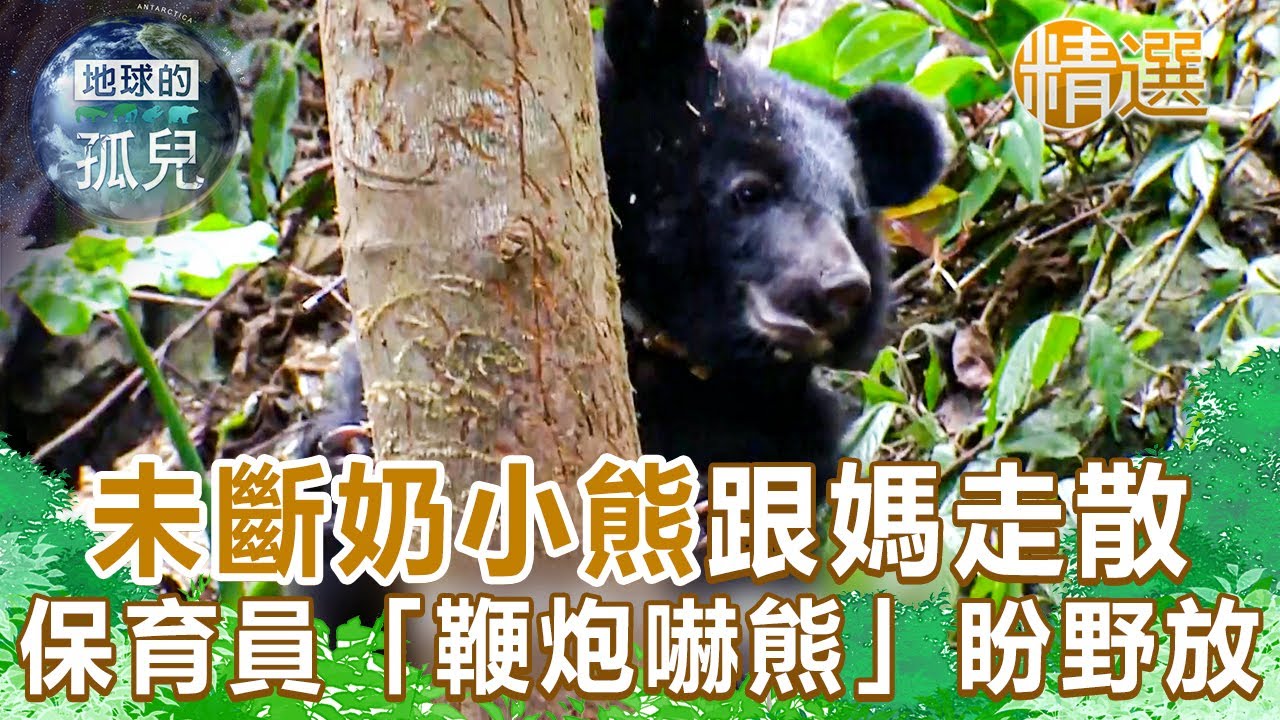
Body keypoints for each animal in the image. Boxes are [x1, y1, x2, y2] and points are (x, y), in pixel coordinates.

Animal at [296, 0, 947, 631]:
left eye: (850, 216)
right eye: (750, 192)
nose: (842, 288)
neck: (673, 354)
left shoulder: (787, 439)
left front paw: (699, 523)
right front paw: (349, 462)